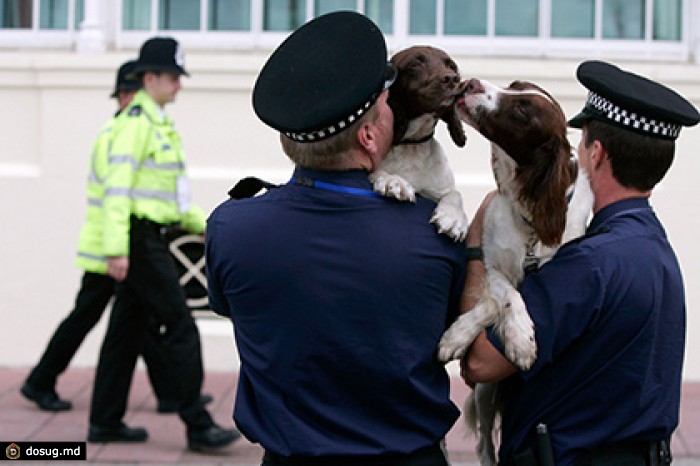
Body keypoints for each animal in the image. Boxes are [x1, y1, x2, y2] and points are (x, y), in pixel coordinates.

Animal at [370, 45, 468, 240]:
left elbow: (455, 193)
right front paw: (393, 181)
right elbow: (378, 171)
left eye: (451, 66)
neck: (412, 145)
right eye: (416, 64)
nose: (452, 79)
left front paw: (453, 218)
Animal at [438, 79, 592, 466]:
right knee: (484, 445)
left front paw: (518, 340)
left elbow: (506, 298)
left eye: (523, 110)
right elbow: (505, 296)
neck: (532, 224)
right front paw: (510, 338)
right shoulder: (491, 264)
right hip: (485, 390)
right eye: (514, 86)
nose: (470, 83)